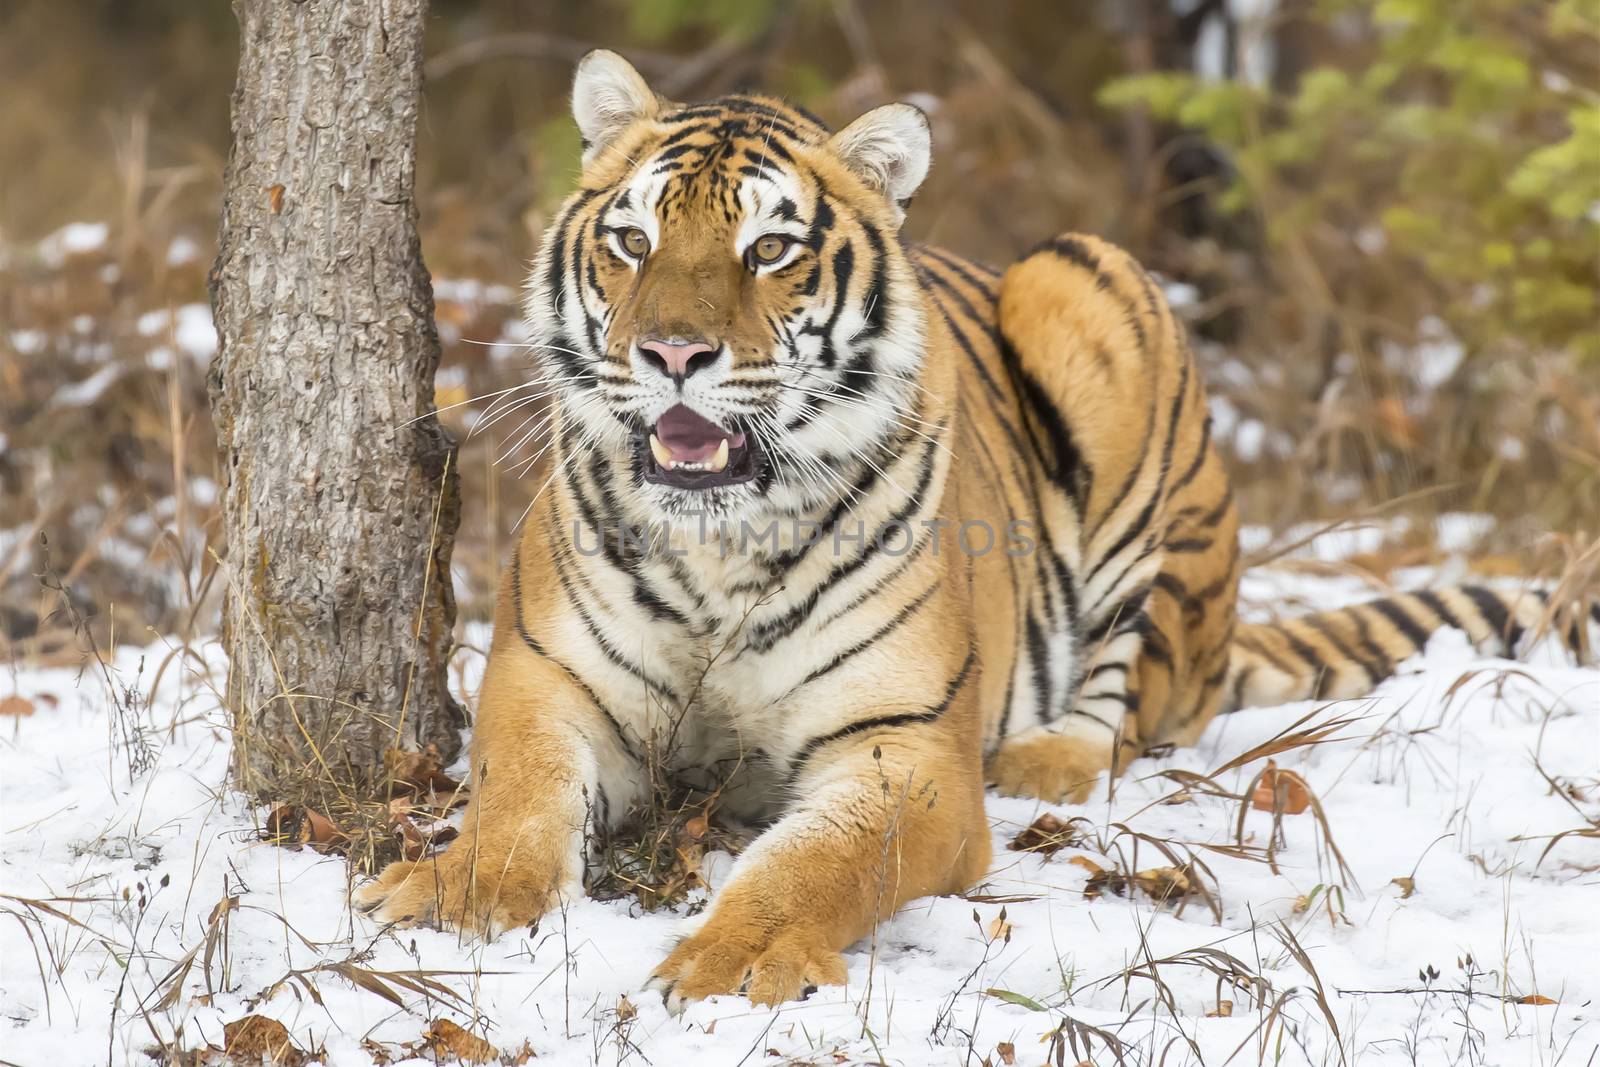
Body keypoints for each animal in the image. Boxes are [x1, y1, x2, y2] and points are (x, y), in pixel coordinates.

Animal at [353, 49, 1587, 1011]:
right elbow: (515, 803)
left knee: (1131, 683)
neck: (720, 542)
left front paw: (734, 959)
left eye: (768, 251)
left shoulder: (906, 749)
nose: (671, 355)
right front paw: (459, 899)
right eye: (633, 239)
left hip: (1090, 289)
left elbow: (816, 864)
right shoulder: (545, 682)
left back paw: (1046, 755)